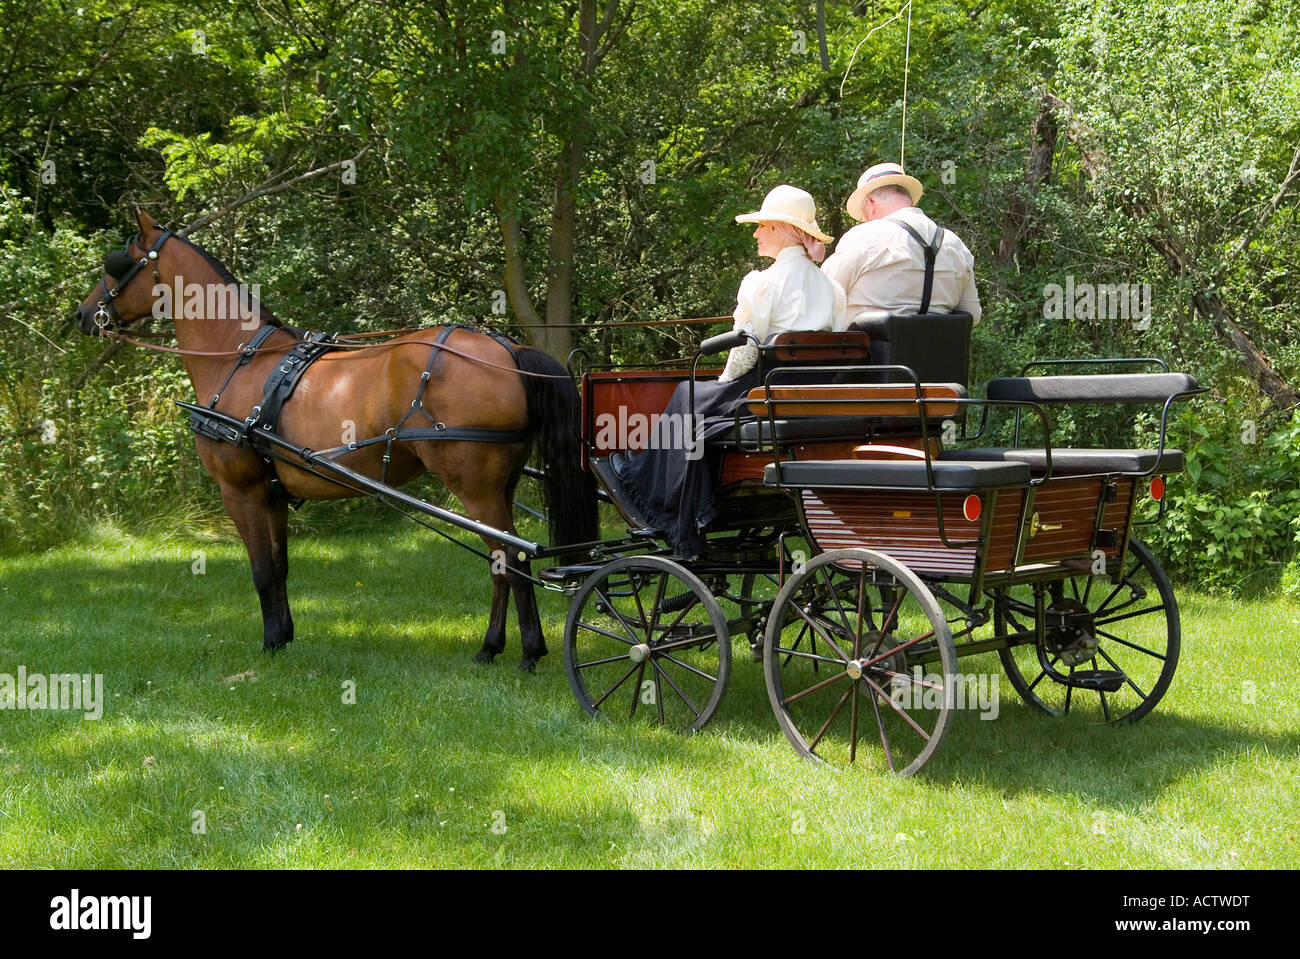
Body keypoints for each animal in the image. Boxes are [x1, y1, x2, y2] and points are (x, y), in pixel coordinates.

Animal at [73, 210, 598, 671]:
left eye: (116, 261)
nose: (83, 314)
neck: (238, 359)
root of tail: (508, 350)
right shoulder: (272, 494)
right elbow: (280, 566)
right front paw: (285, 637)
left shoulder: (240, 491)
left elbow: (260, 570)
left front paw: (269, 644)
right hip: (500, 485)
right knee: (501, 560)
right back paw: (492, 648)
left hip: (475, 485)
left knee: (510, 556)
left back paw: (527, 651)